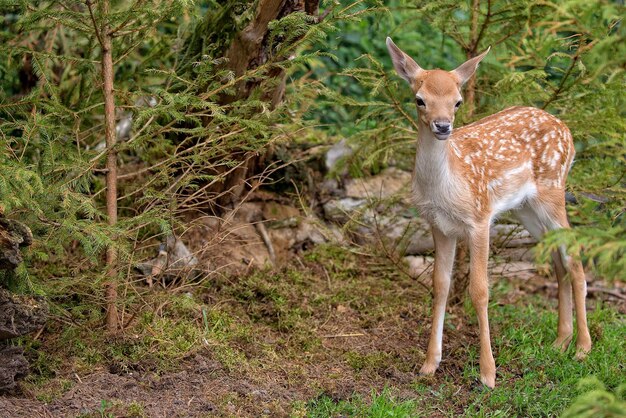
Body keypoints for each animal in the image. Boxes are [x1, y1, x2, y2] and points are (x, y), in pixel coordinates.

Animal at [386, 39, 588, 388]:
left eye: (457, 101)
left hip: (553, 189)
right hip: (525, 209)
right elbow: (440, 285)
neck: (445, 187)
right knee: (558, 259)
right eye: (419, 99)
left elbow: (479, 291)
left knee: (574, 255)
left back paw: (582, 348)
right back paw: (560, 341)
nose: (443, 126)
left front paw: (488, 374)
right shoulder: (439, 226)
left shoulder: (479, 220)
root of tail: (566, 130)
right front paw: (429, 364)